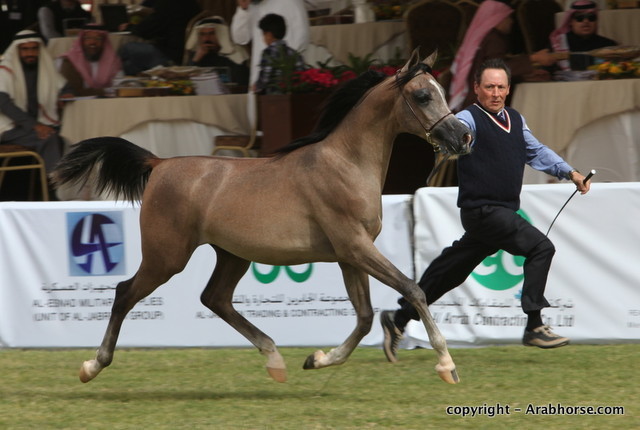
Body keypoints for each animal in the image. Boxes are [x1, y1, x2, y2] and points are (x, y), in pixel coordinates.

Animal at [51, 50, 472, 385]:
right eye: (422, 95)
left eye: (441, 90)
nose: (462, 137)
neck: (345, 164)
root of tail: (158, 164)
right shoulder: (355, 247)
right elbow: (413, 289)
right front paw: (447, 365)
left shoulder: (349, 255)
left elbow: (366, 316)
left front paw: (317, 359)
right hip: (166, 257)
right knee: (125, 293)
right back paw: (91, 366)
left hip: (231, 255)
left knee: (215, 298)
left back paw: (275, 359)